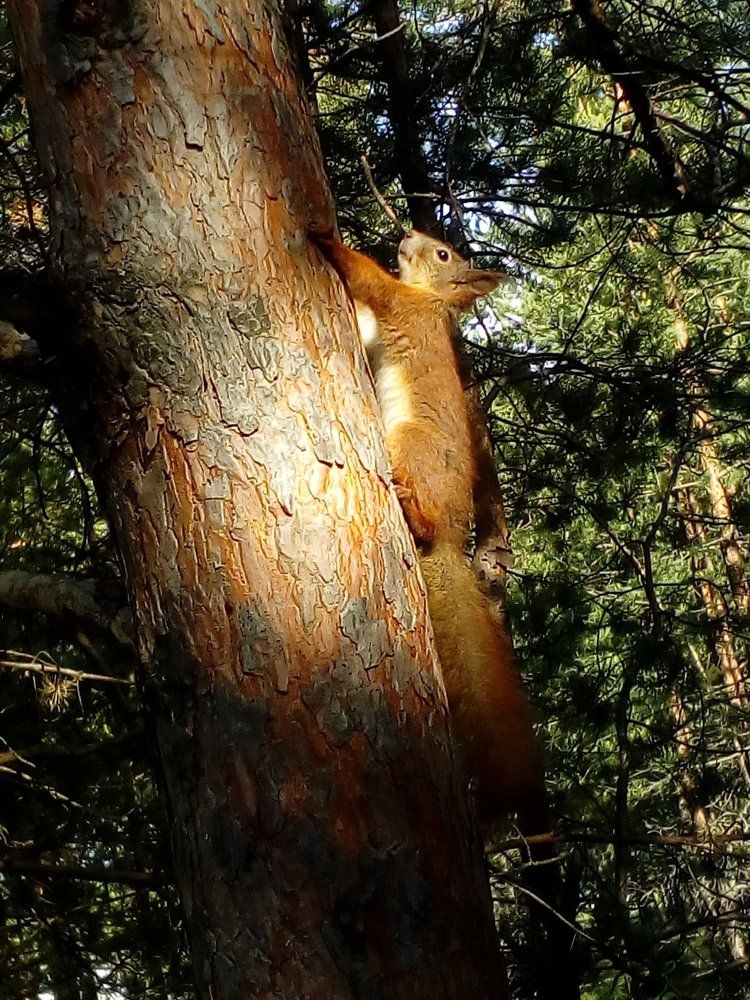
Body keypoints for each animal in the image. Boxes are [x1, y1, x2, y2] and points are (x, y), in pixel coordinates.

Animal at [309, 227, 545, 825]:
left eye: (442, 253)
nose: (407, 234)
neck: (432, 299)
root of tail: (450, 539)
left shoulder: (404, 308)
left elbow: (372, 282)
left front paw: (328, 240)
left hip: (411, 442)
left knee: (422, 510)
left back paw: (409, 506)